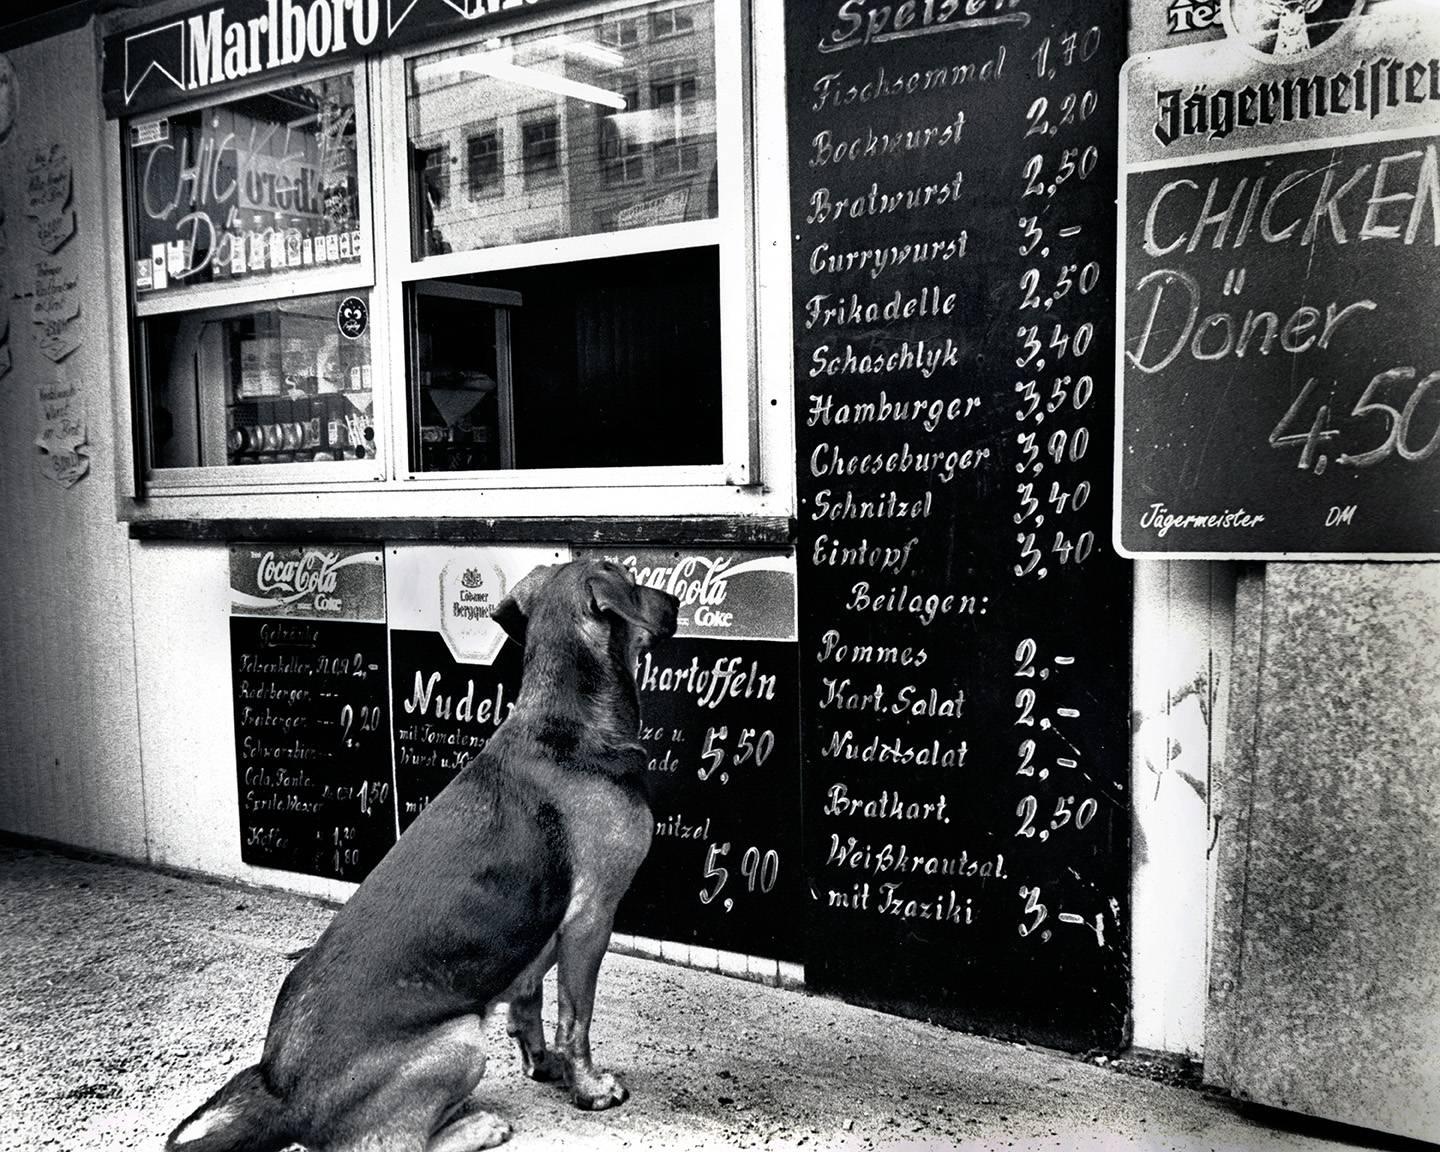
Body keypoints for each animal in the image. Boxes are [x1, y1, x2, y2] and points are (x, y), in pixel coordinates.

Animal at [169, 552, 679, 1146]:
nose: (675, 601)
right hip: (463, 1042)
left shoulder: (539, 941)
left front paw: (544, 1067)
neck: (565, 722)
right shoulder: (590, 919)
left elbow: (528, 1006)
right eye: (635, 580)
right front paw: (591, 1089)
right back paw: (479, 1125)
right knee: (399, 1143)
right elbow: (576, 1019)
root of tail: (284, 1098)